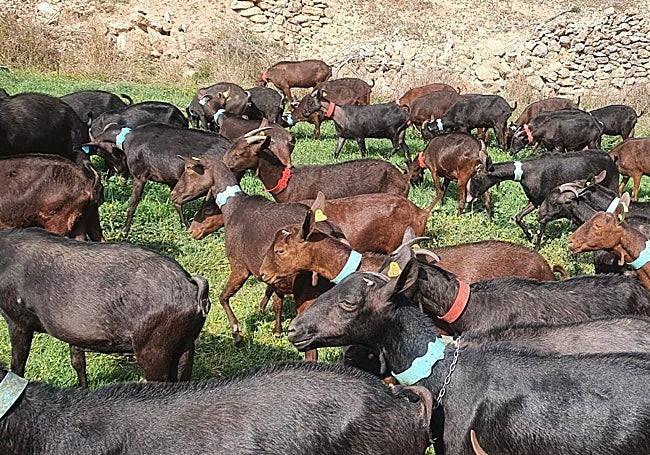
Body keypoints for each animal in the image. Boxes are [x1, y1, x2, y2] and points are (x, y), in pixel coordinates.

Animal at [0, 227, 210, 387]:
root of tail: (191, 283)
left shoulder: (17, 319)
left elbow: (17, 365)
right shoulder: (72, 334)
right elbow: (78, 362)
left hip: (153, 348)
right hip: (186, 345)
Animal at [468, 150, 619, 247]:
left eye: (477, 177)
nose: (470, 195)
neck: (525, 173)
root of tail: (611, 159)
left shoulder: (547, 204)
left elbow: (540, 229)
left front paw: (536, 247)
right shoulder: (535, 200)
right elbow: (518, 217)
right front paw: (530, 235)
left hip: (613, 185)